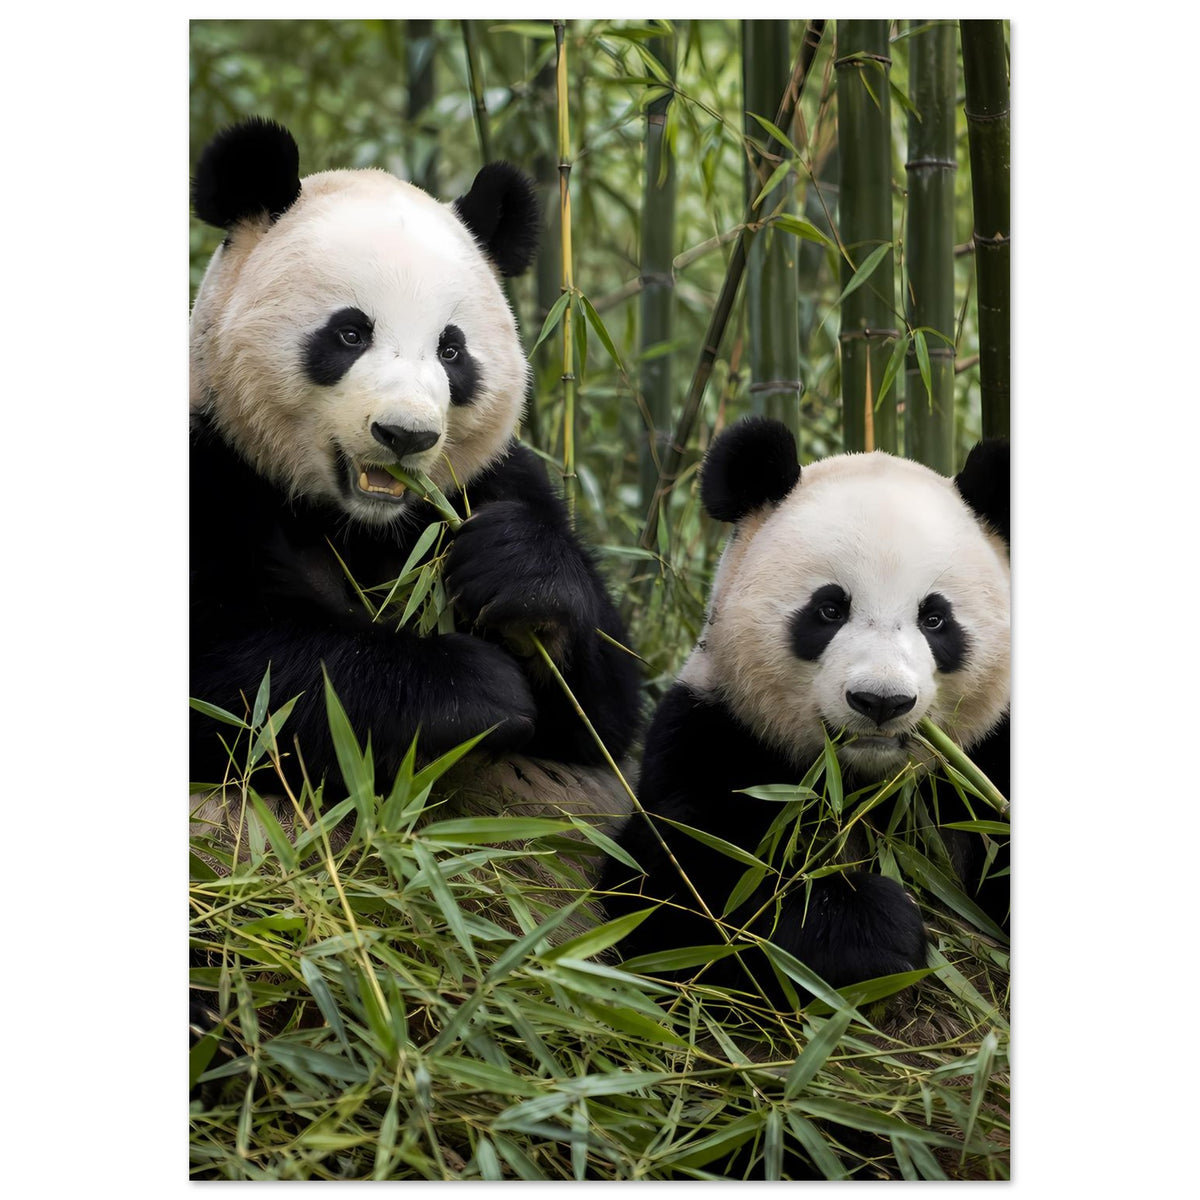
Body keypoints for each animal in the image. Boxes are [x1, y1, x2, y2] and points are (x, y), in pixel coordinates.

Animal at [189, 118, 641, 849]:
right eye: (349, 333)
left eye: (451, 350)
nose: (405, 434)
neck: (356, 522)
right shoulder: (213, 467)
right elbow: (238, 679)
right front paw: (473, 688)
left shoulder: (486, 482)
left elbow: (604, 716)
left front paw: (519, 574)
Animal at [601, 416, 1009, 1002]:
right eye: (829, 609)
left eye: (935, 619)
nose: (881, 701)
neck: (861, 785)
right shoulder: (716, 734)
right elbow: (684, 894)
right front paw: (872, 928)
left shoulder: (987, 759)